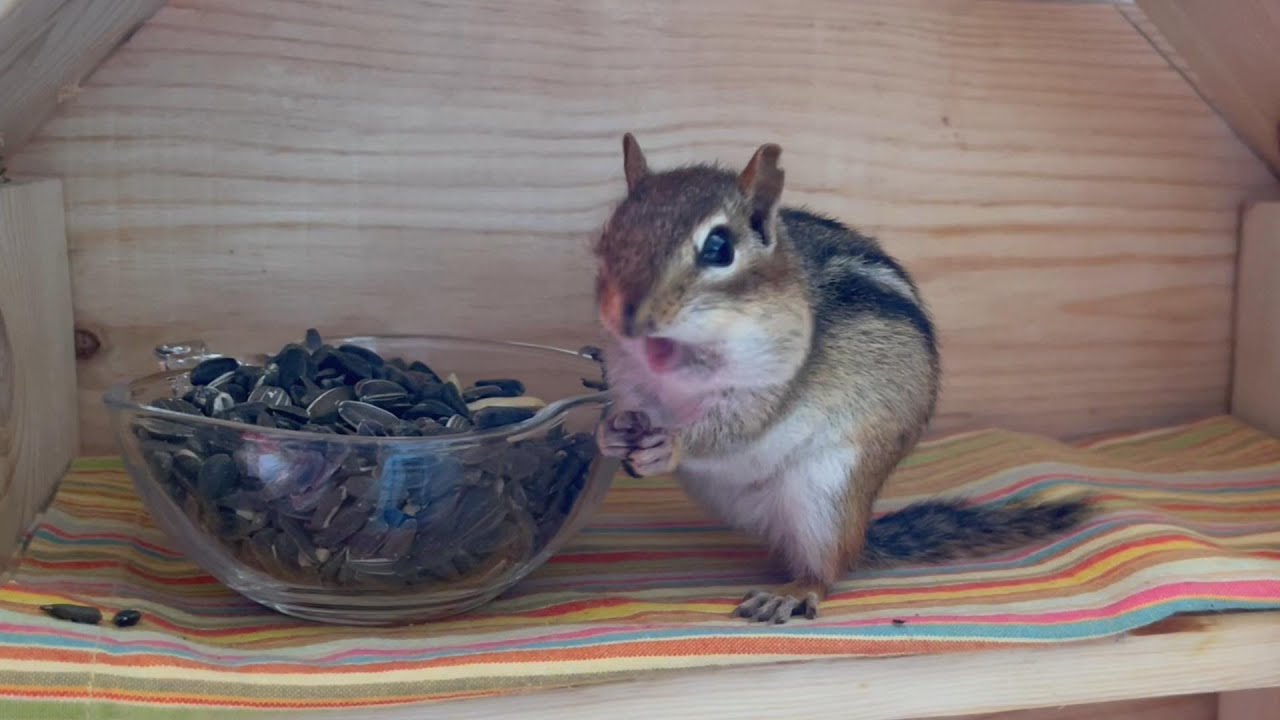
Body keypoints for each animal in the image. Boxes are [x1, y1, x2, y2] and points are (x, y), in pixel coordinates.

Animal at [591, 133, 1092, 624]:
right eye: (610, 233)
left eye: (720, 248)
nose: (630, 318)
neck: (677, 384)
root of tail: (860, 529)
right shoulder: (630, 382)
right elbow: (624, 412)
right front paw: (609, 433)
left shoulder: (768, 389)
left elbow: (730, 431)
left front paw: (671, 444)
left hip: (826, 495)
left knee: (826, 571)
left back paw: (791, 593)